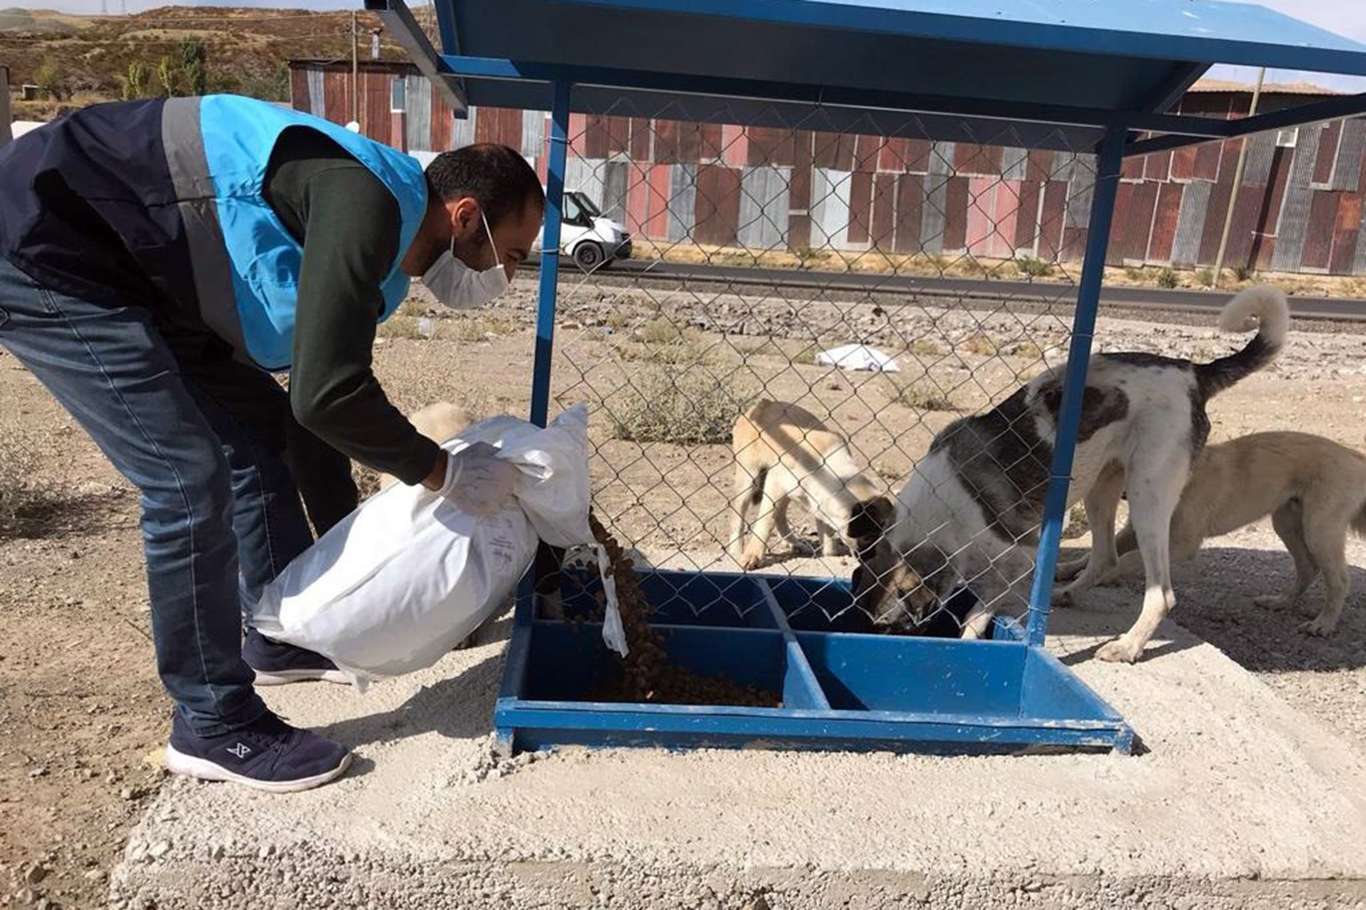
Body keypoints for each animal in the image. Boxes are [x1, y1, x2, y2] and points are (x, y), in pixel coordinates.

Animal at [729, 399, 880, 570]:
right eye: (868, 538)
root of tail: (764, 403)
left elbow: (828, 544)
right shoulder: (775, 483)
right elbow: (765, 522)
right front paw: (752, 555)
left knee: (780, 516)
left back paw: (794, 544)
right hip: (749, 478)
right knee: (739, 515)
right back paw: (736, 551)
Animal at [847, 285, 1289, 663]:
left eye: (888, 630)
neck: (941, 511)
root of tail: (1194, 371)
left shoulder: (1018, 560)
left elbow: (976, 617)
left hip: (1147, 493)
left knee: (1161, 593)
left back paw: (1127, 646)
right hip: (1100, 486)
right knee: (1106, 556)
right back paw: (1069, 593)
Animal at [1055, 431, 1366, 637]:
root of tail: (1354, 456)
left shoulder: (1183, 542)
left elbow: (1128, 559)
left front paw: (1105, 575)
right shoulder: (1134, 530)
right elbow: (1094, 555)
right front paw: (1066, 569)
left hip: (1319, 529)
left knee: (1338, 579)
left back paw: (1323, 623)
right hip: (1286, 521)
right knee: (1306, 567)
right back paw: (1280, 602)